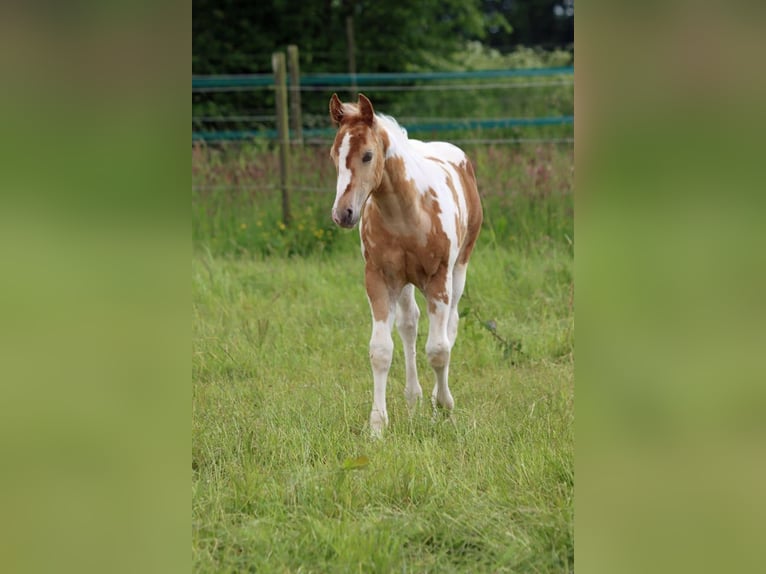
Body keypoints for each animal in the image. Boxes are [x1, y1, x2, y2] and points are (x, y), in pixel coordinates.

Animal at [328, 93, 482, 436]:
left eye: (368, 155)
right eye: (334, 155)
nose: (343, 213)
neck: (406, 212)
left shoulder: (439, 279)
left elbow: (438, 349)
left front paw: (444, 407)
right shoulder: (379, 279)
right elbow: (381, 350)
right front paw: (377, 426)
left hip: (459, 270)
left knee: (450, 326)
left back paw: (438, 400)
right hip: (406, 282)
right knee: (408, 325)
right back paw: (413, 400)